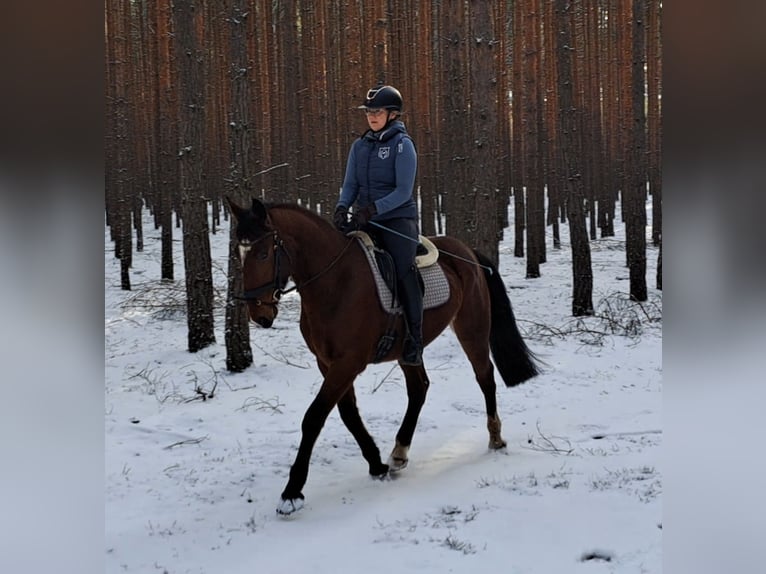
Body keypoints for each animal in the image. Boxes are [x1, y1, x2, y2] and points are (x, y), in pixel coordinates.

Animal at [227, 197, 540, 515]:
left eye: (264, 253)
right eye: (239, 254)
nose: (259, 315)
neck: (336, 282)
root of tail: (467, 252)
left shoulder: (348, 363)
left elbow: (314, 417)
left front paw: (292, 492)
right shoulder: (328, 363)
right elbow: (348, 414)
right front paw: (376, 464)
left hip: (472, 329)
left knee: (485, 377)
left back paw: (495, 438)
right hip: (409, 350)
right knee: (419, 388)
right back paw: (399, 452)